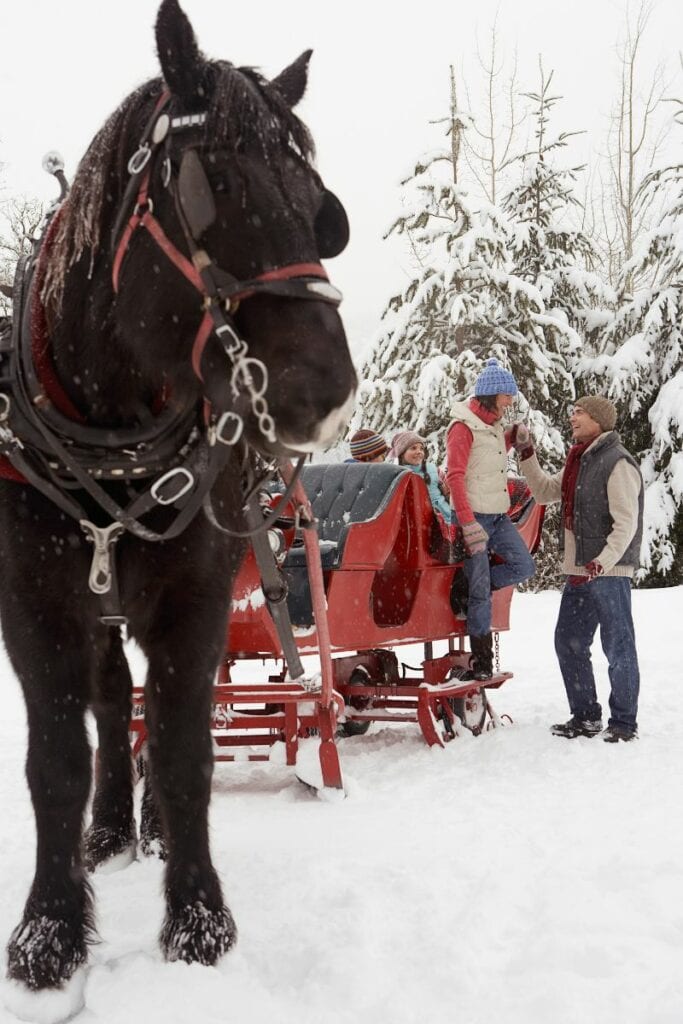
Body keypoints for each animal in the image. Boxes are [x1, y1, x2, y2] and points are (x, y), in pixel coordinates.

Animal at [1, 0, 358, 995]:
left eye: (320, 209)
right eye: (212, 186)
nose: (324, 391)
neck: (114, 430)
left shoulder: (197, 592)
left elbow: (185, 743)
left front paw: (198, 916)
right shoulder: (37, 601)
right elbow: (60, 756)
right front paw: (49, 929)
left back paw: (154, 830)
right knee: (110, 701)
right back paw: (113, 830)